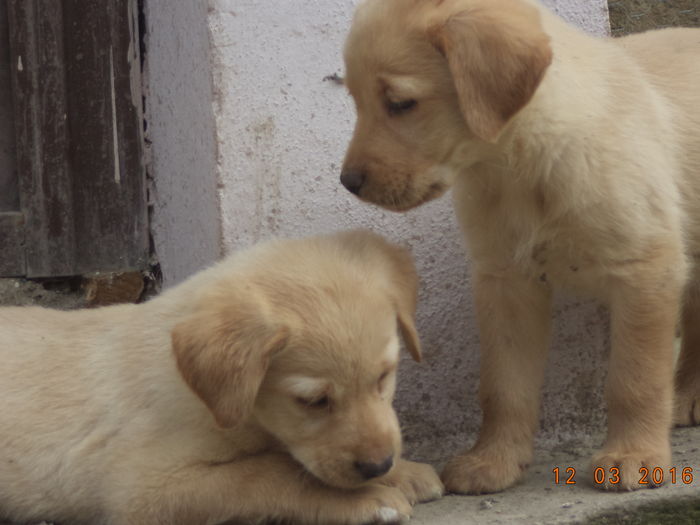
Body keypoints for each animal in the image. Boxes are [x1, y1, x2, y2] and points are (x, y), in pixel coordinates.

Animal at [0, 230, 442, 524]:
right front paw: (368, 498)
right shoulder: (146, 486)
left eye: (384, 376)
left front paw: (405, 471)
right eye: (313, 401)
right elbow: (268, 472)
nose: (378, 466)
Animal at [340, 0, 700, 492]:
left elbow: (635, 378)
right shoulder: (504, 280)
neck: (521, 167)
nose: (348, 183)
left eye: (400, 103)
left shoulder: (645, 266)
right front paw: (494, 460)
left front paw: (634, 455)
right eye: (356, 101)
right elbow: (503, 386)